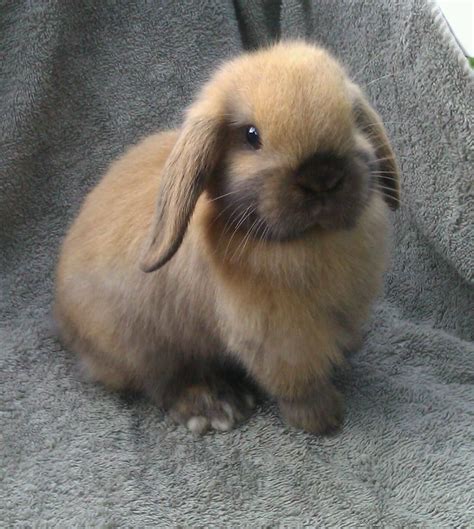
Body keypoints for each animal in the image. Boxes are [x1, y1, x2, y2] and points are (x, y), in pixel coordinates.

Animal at [54, 41, 400, 436]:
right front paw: (323, 419)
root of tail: (62, 319)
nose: (322, 176)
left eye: (352, 119)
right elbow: (299, 381)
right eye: (251, 136)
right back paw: (215, 406)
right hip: (140, 343)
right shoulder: (279, 336)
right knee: (159, 381)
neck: (311, 239)